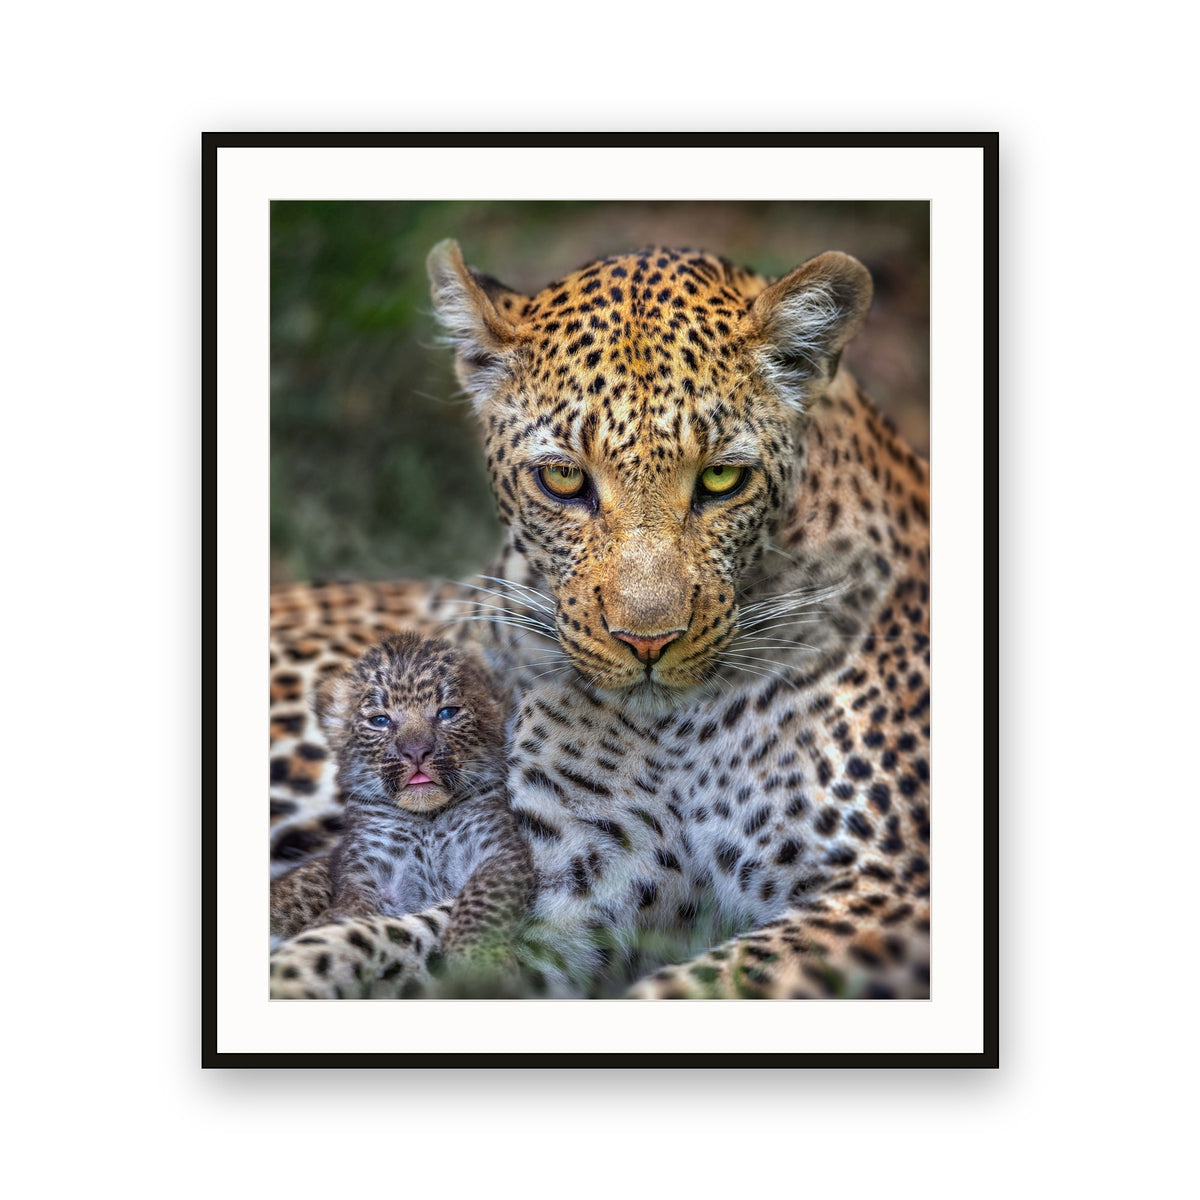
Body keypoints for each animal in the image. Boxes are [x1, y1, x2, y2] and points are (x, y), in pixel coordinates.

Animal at [269, 632, 533, 997]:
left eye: (447, 712)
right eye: (380, 720)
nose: (416, 751)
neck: (427, 822)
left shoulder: (501, 851)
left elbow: (480, 901)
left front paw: (480, 962)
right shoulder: (366, 874)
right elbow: (351, 913)